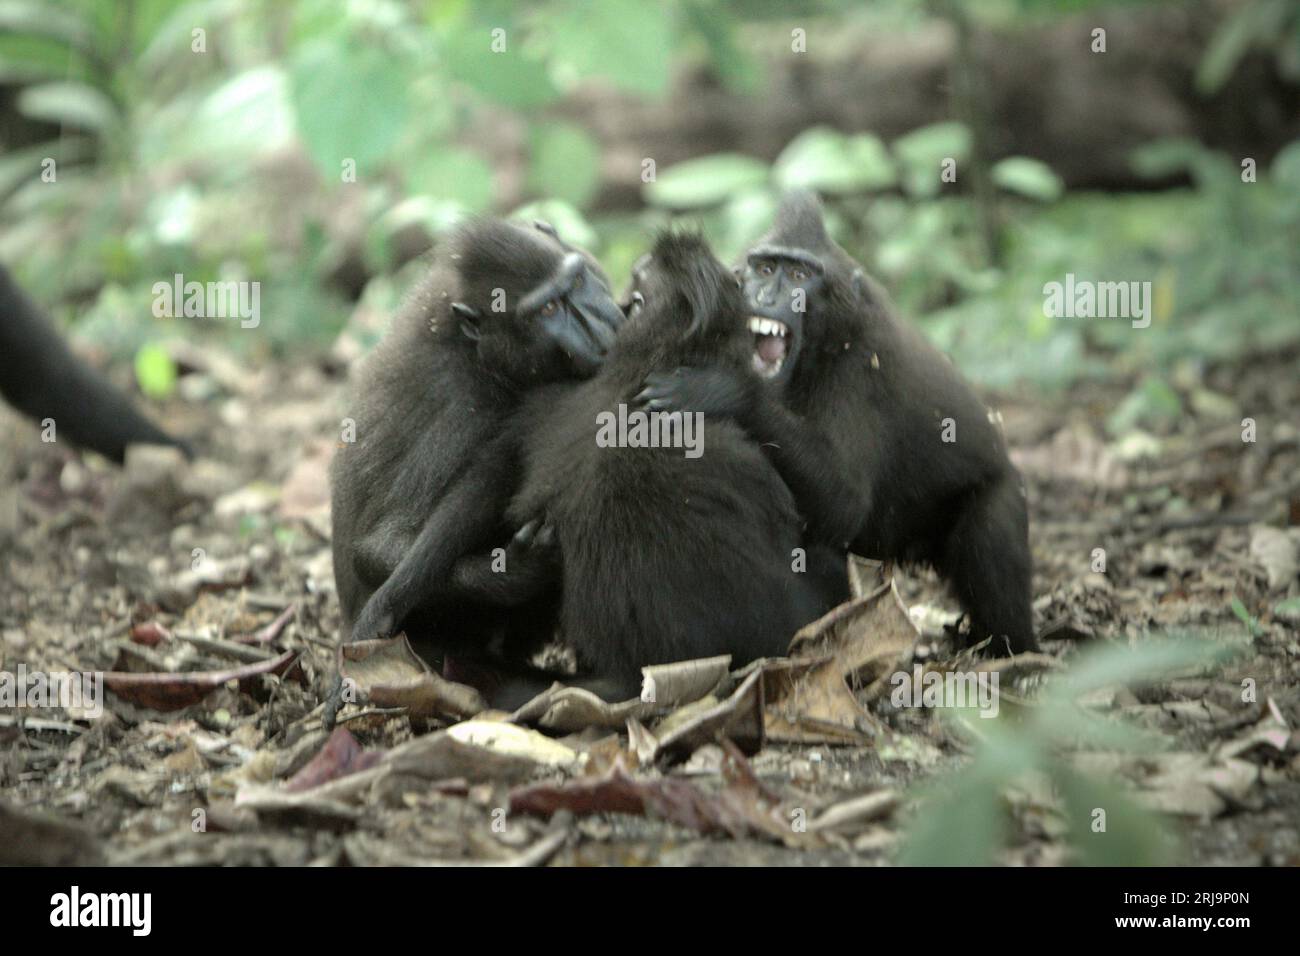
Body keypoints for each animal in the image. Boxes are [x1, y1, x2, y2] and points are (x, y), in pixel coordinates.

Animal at [329, 217, 625, 671]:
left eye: (577, 282)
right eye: (547, 311)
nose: (599, 329)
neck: (478, 352)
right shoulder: (465, 409)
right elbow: (379, 548)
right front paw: (519, 571)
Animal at [503, 232, 849, 702]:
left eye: (632, 292)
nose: (741, 275)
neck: (643, 366)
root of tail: (628, 672)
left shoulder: (550, 406)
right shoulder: (744, 460)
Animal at [635, 191, 1036, 655]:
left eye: (800, 275)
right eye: (764, 268)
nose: (765, 295)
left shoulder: (860, 366)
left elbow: (845, 503)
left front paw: (724, 389)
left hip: (1000, 493)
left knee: (991, 537)